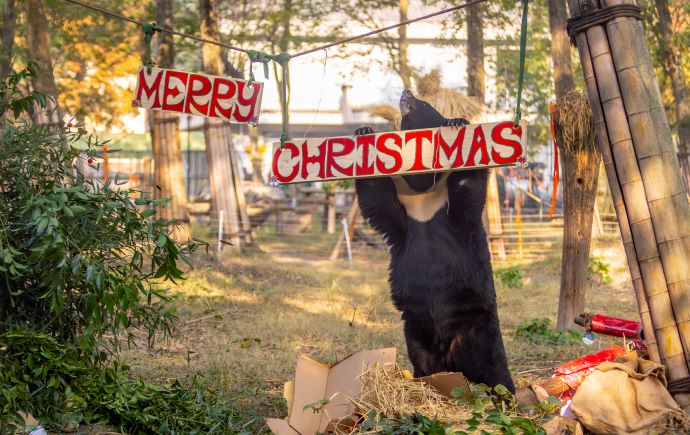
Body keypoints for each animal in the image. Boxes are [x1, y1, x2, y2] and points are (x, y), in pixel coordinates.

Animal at [354, 88, 510, 392]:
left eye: (424, 102)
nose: (406, 91)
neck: (423, 185)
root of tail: (452, 357)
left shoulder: (450, 203)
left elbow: (468, 185)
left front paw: (457, 123)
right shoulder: (406, 205)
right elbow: (378, 198)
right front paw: (363, 131)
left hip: (481, 327)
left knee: (495, 366)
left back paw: (506, 394)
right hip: (415, 330)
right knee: (423, 361)